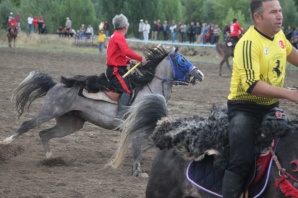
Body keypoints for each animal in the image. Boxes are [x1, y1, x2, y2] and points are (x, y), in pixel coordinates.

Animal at [1, 45, 204, 177]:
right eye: (182, 60)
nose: (200, 74)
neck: (150, 88)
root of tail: (55, 84)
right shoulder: (138, 127)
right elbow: (137, 147)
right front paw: (138, 171)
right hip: (49, 111)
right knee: (27, 125)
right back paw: (7, 142)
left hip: (71, 123)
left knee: (44, 134)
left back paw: (50, 158)